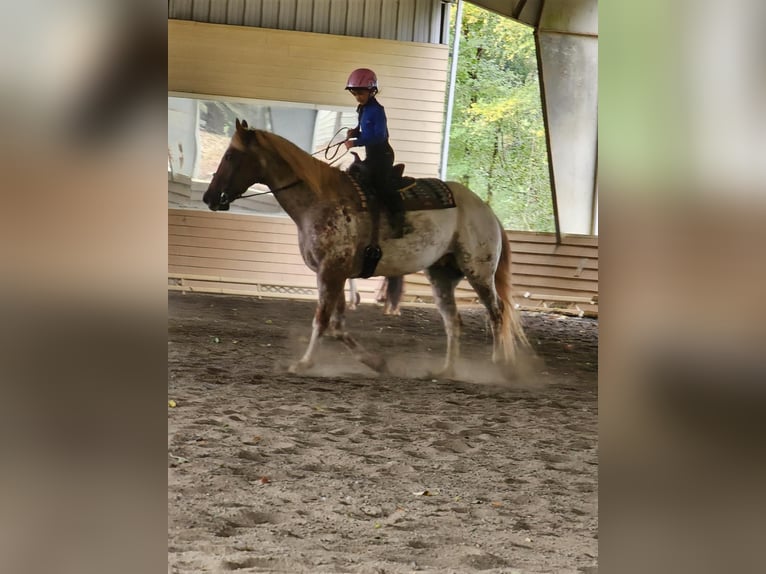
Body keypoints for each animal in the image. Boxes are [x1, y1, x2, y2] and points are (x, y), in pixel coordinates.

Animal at [201, 119, 532, 380]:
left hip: (479, 271)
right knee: (454, 322)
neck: (318, 199)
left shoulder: (331, 271)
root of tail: (486, 211)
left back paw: (501, 366)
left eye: (230, 155)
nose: (209, 197)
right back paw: (445, 371)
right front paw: (375, 362)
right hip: (441, 276)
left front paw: (303, 363)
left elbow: (322, 320)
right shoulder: (333, 273)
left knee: (497, 313)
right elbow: (336, 325)